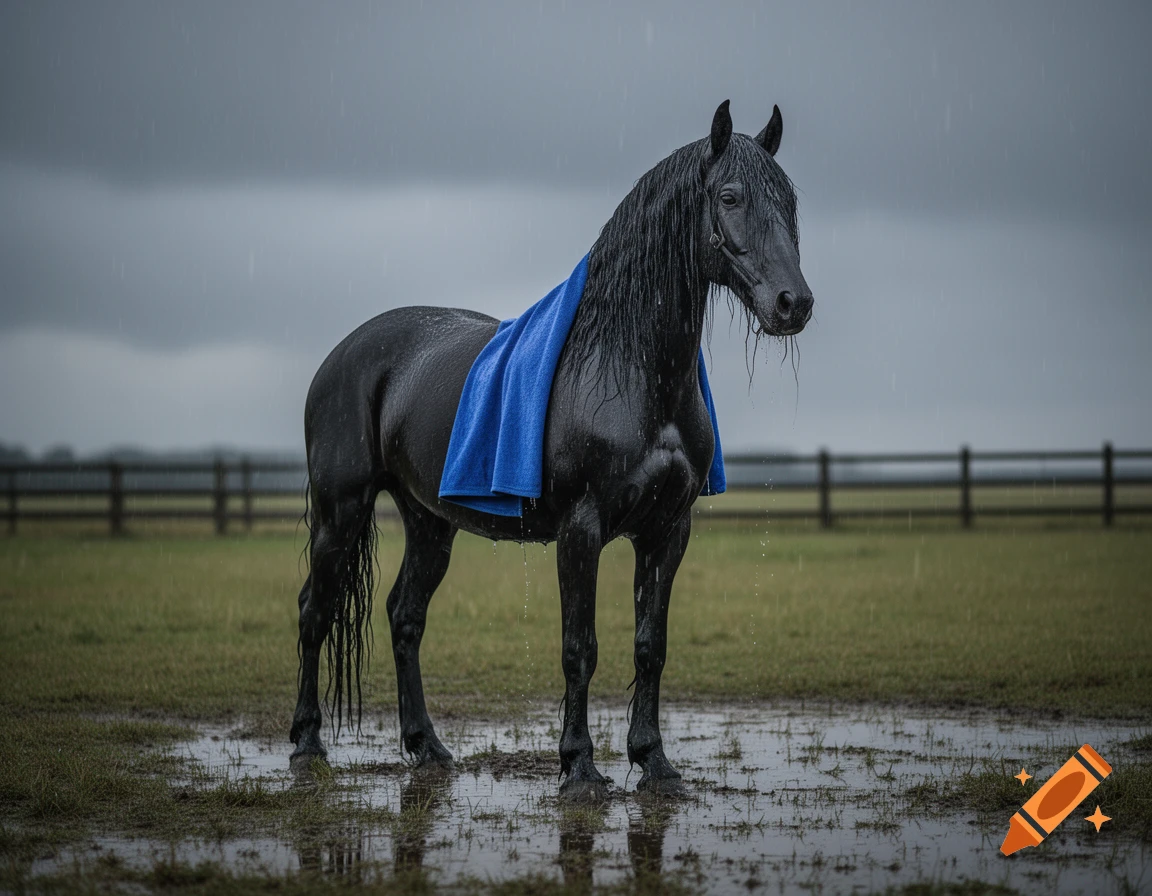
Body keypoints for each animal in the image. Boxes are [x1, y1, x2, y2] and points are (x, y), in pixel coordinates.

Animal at [290, 100, 814, 800]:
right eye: (729, 197)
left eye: (790, 202)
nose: (793, 304)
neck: (629, 369)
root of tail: (343, 353)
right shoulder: (580, 529)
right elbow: (579, 647)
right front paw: (580, 769)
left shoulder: (668, 531)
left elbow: (650, 645)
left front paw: (654, 763)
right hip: (340, 511)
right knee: (314, 612)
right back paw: (306, 745)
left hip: (428, 521)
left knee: (404, 616)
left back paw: (426, 747)